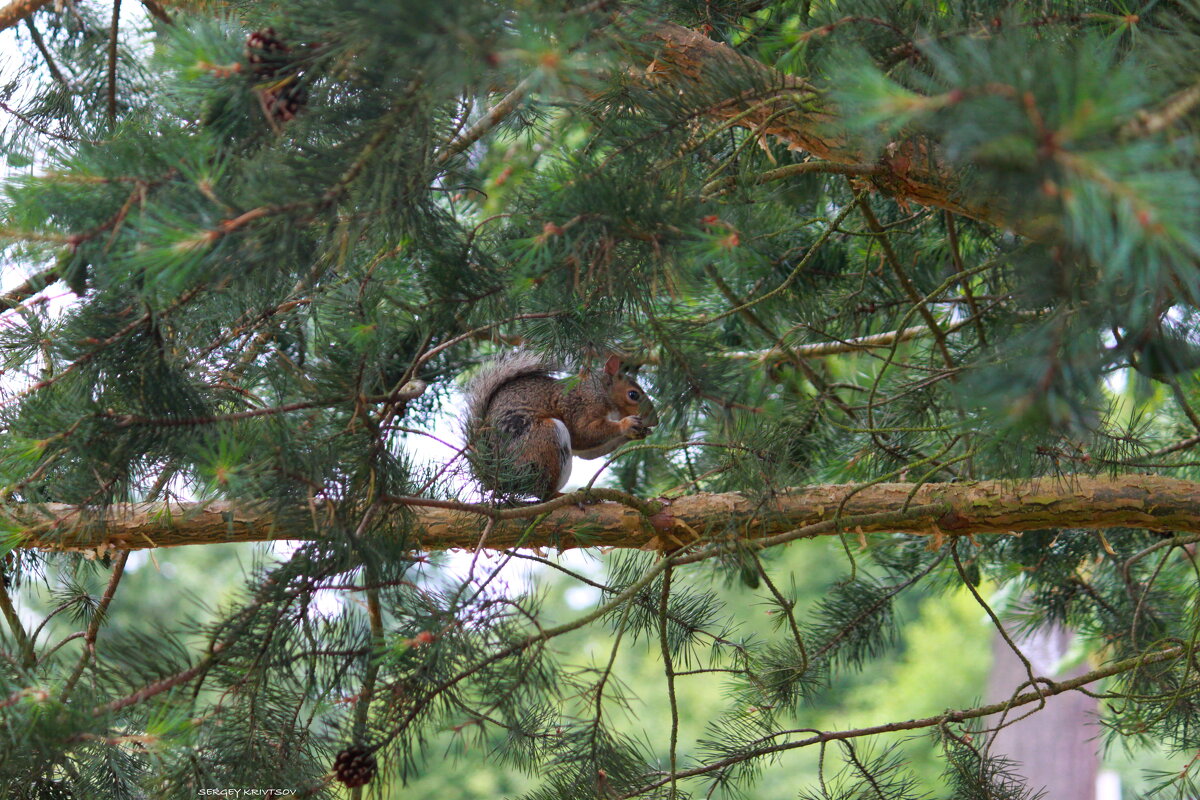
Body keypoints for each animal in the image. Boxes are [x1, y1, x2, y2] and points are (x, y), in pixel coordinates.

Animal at [465, 352, 657, 501]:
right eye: (633, 395)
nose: (656, 421)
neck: (597, 391)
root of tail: (500, 478)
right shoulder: (578, 407)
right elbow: (584, 433)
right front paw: (627, 425)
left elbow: (586, 451)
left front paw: (640, 432)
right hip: (543, 440)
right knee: (543, 493)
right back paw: (565, 496)